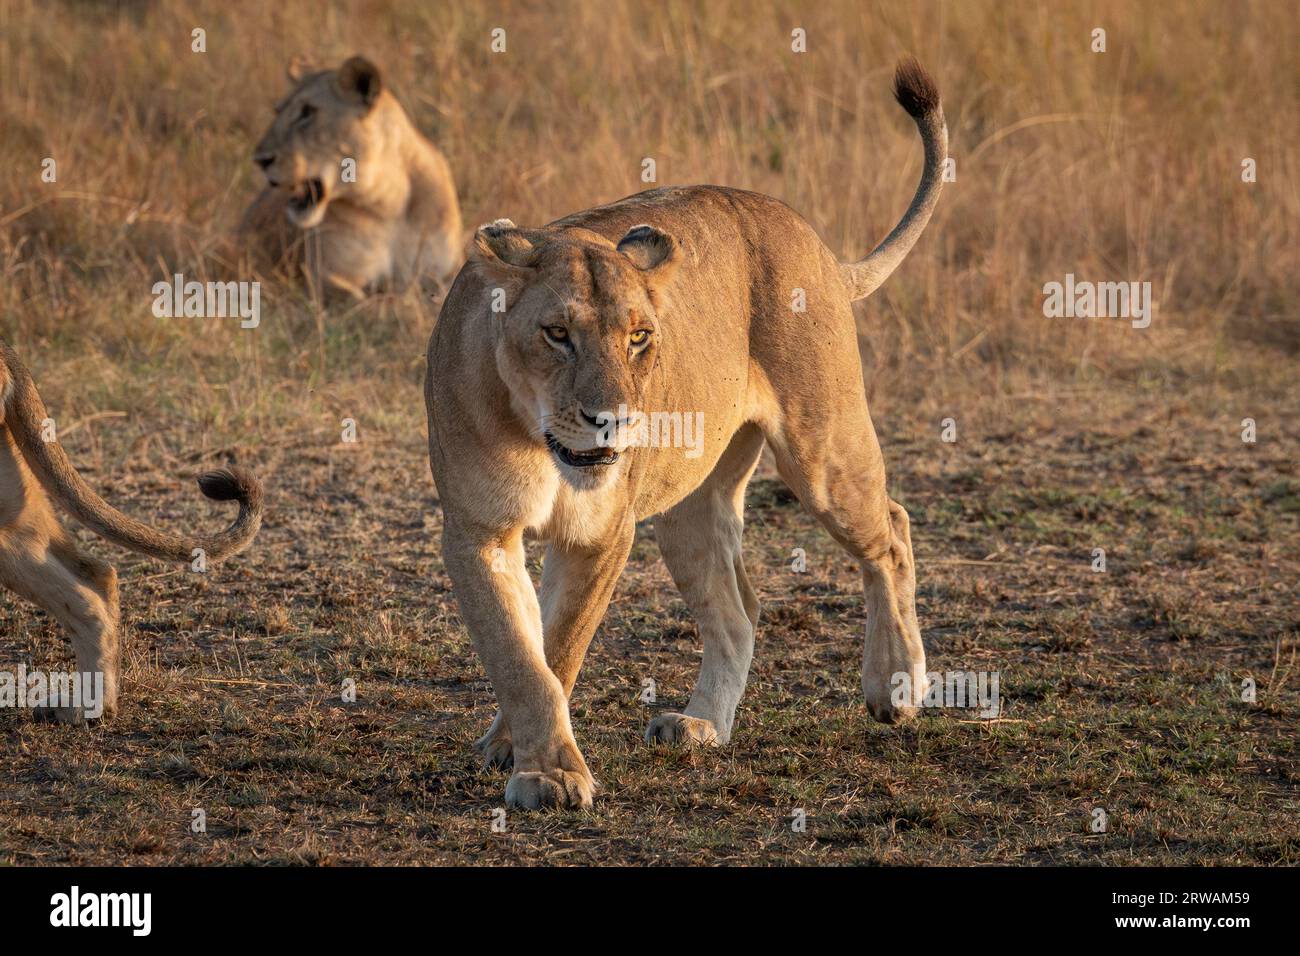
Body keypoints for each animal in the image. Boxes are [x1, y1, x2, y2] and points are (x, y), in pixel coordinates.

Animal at [240, 55, 464, 299]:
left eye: (308, 112)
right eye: (277, 111)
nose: (260, 160)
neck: (389, 203)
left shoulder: (444, 271)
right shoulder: (325, 278)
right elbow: (367, 300)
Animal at [425, 57, 947, 809]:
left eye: (639, 337)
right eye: (557, 334)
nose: (613, 420)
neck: (537, 439)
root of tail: (811, 236)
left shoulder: (602, 536)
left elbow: (558, 648)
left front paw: (541, 767)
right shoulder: (479, 532)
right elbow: (521, 654)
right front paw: (531, 757)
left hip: (822, 453)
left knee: (893, 530)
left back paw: (895, 687)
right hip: (689, 506)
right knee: (738, 611)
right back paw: (701, 725)